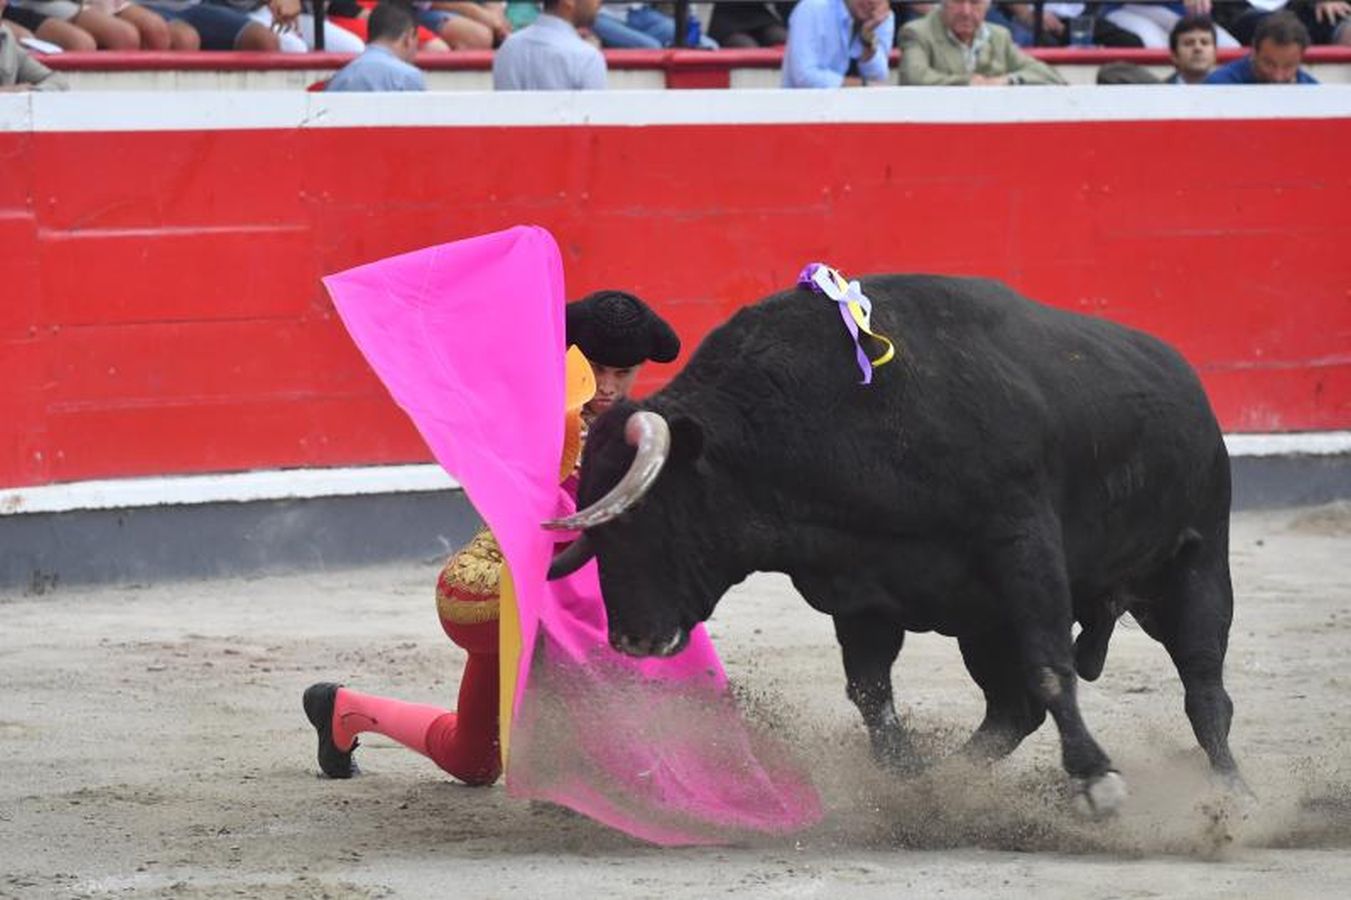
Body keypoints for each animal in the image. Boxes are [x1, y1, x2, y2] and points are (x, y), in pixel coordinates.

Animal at [543, 271, 1237, 805]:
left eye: (644, 512)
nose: (631, 640)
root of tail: (1191, 386)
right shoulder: (861, 589)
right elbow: (871, 690)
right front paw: (909, 783)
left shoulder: (1025, 548)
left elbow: (1049, 664)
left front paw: (1097, 779)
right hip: (985, 625)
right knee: (1010, 710)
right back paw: (953, 782)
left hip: (1195, 566)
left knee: (1205, 691)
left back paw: (1232, 797)